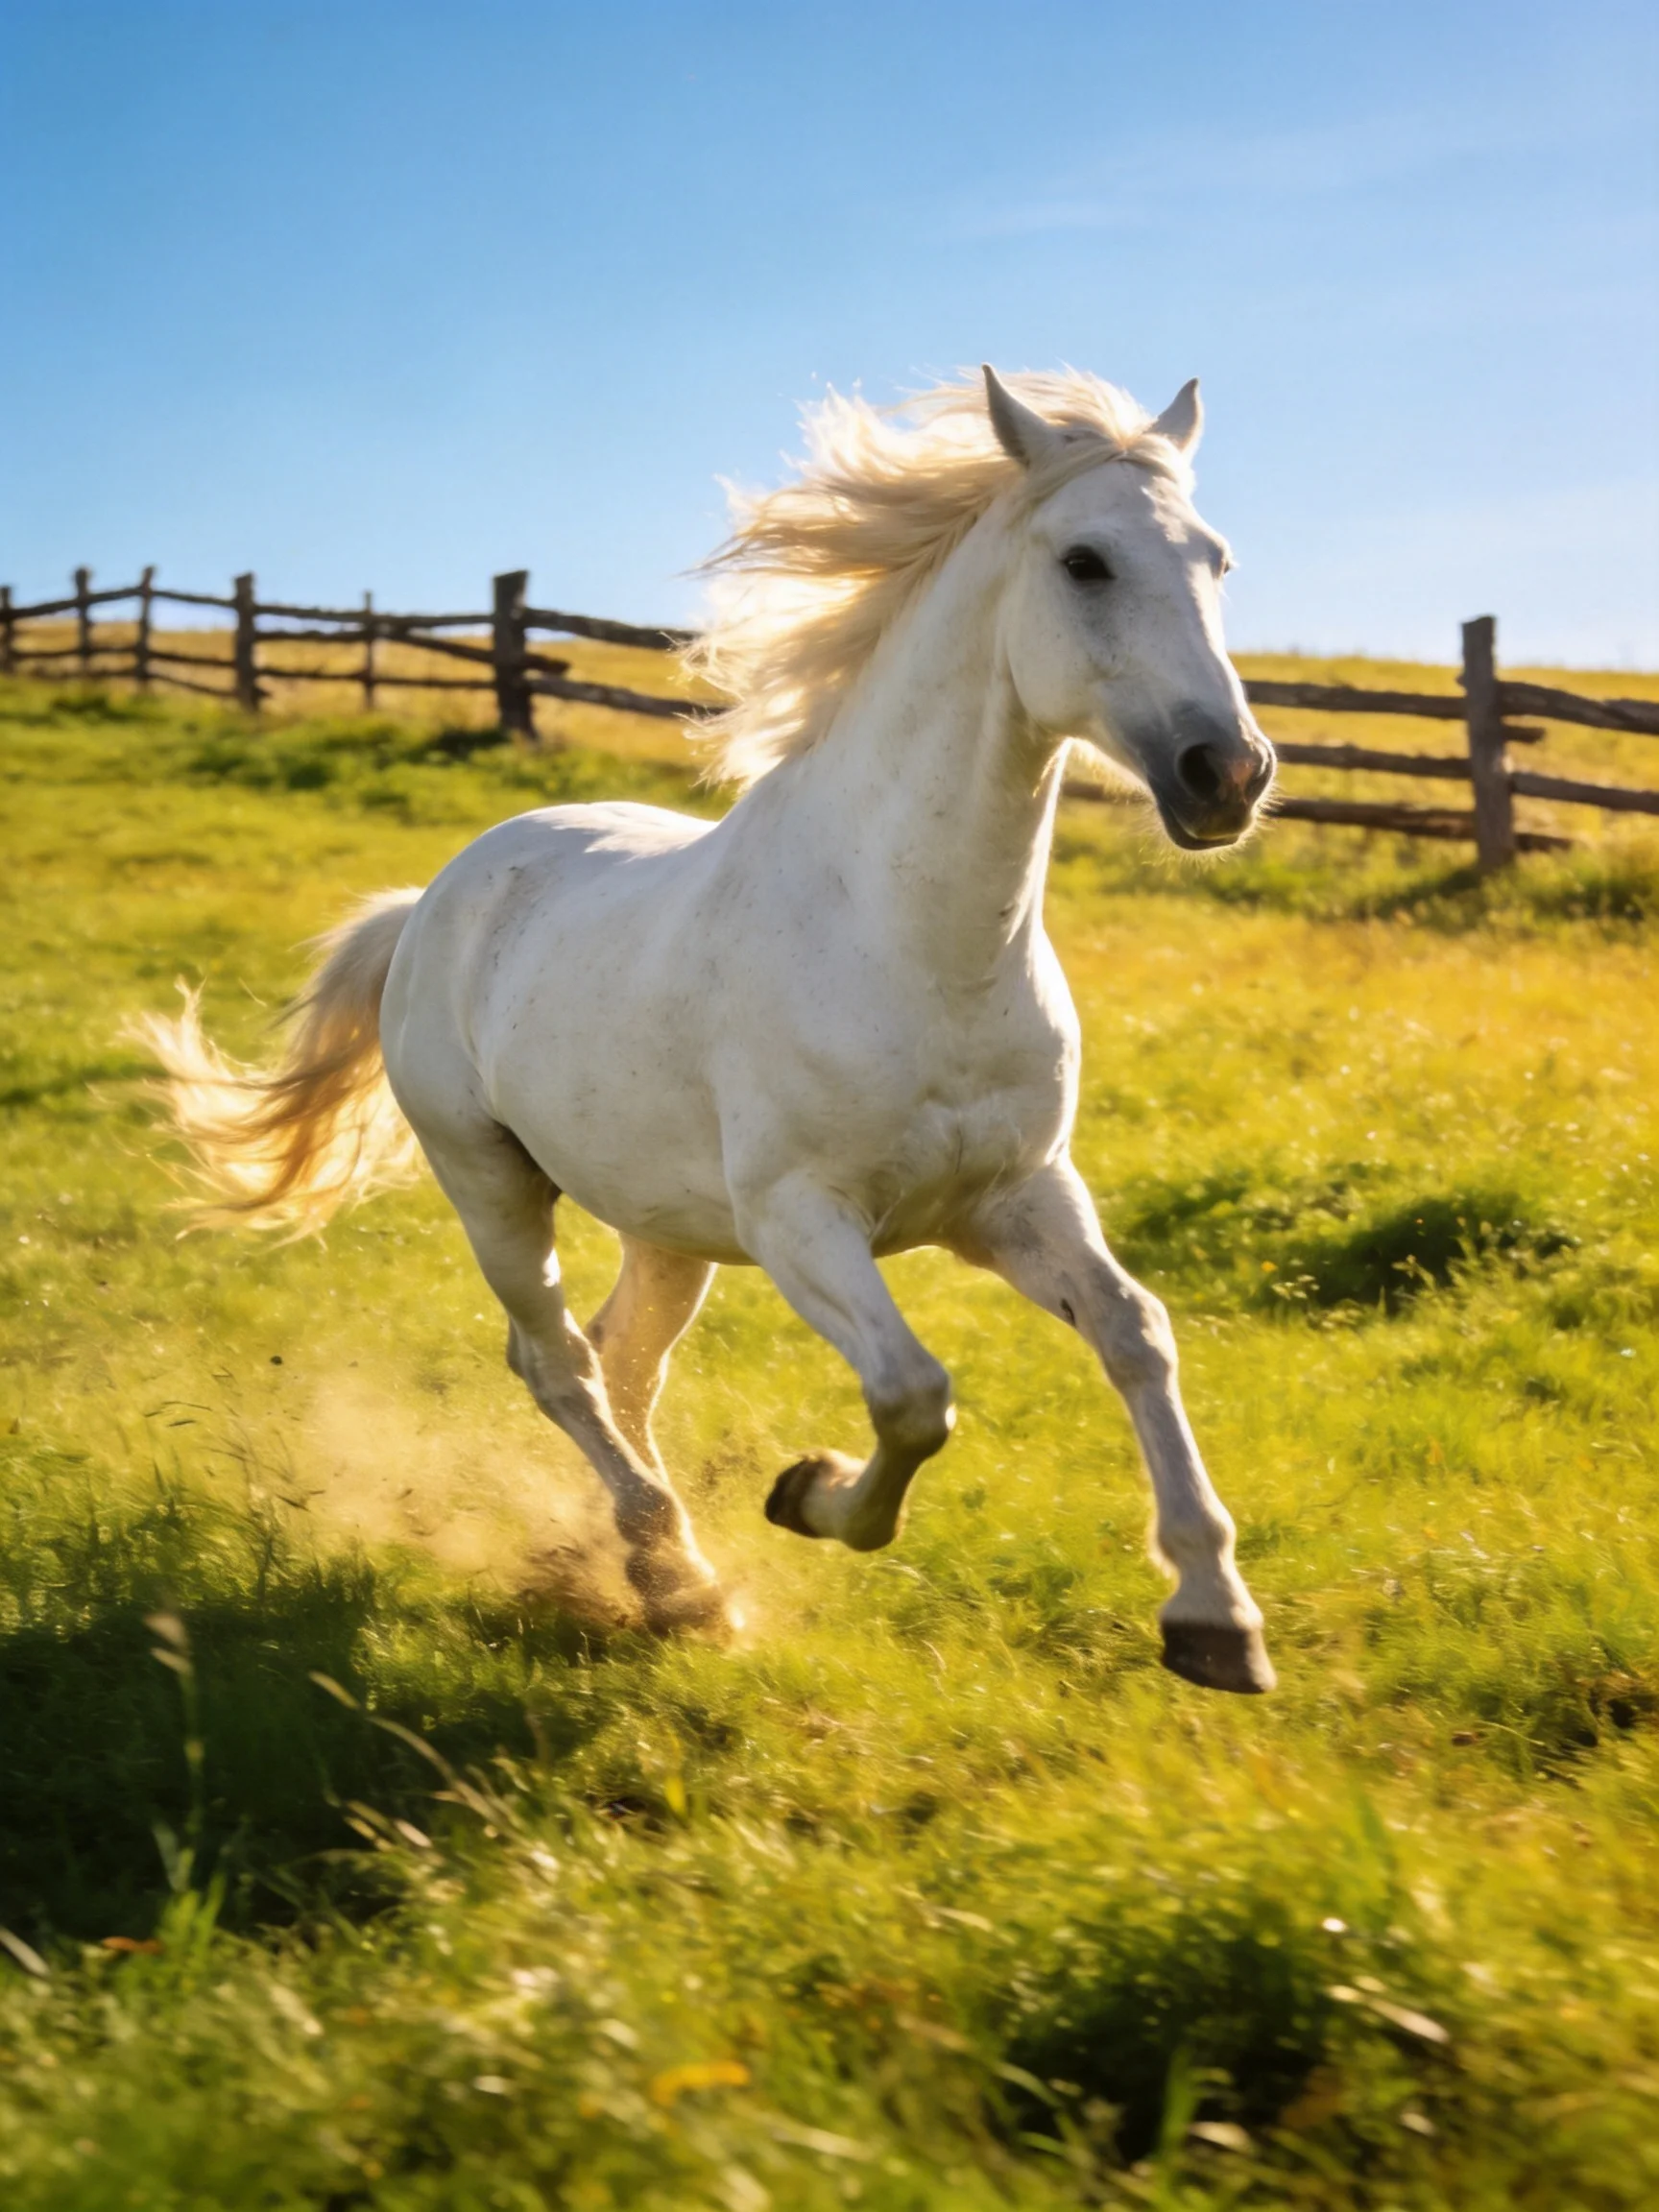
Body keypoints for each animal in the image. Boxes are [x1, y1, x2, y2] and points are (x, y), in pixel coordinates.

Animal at [136, 366, 1279, 1694]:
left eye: (1218, 560)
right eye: (1085, 561)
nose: (1226, 774)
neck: (910, 941)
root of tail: (429, 902)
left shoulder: (1017, 1195)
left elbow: (1137, 1334)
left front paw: (1216, 1619)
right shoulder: (802, 1220)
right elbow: (914, 1394)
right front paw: (808, 1495)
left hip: (665, 1226)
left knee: (623, 1362)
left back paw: (645, 1560)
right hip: (491, 1184)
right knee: (559, 1363)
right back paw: (677, 1580)